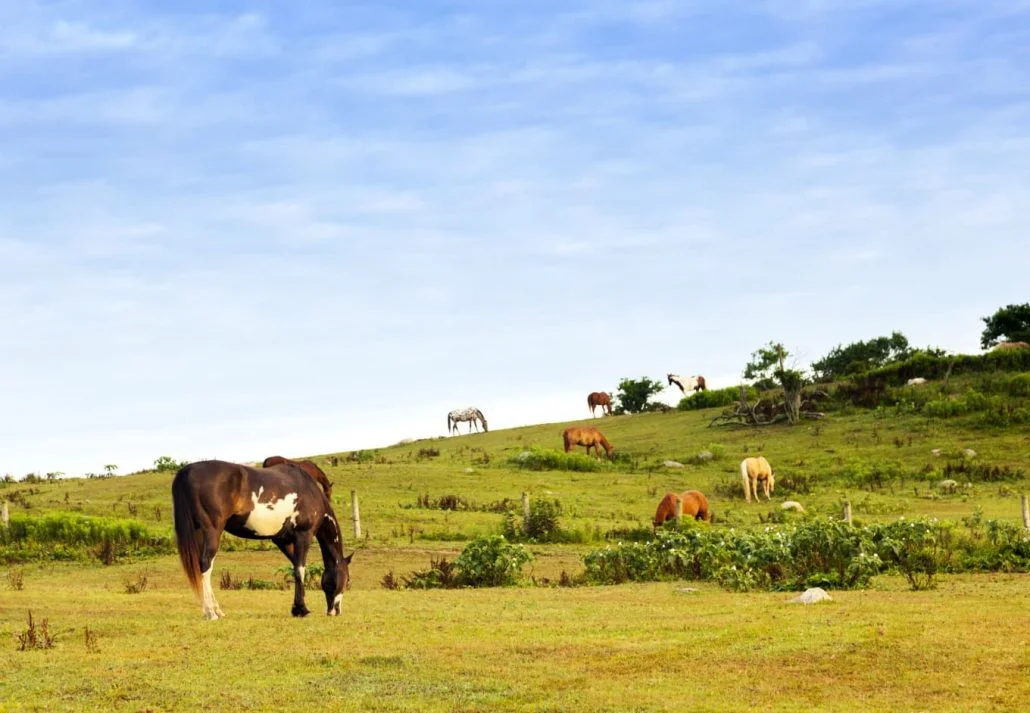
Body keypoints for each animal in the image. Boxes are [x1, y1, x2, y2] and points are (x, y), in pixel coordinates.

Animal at [171, 459, 352, 620]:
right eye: (347, 579)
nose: (335, 611)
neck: (310, 491)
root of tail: (187, 470)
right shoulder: (303, 535)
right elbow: (300, 570)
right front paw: (301, 609)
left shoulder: (282, 540)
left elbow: (294, 568)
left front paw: (297, 608)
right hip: (212, 532)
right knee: (205, 565)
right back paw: (211, 613)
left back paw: (216, 611)